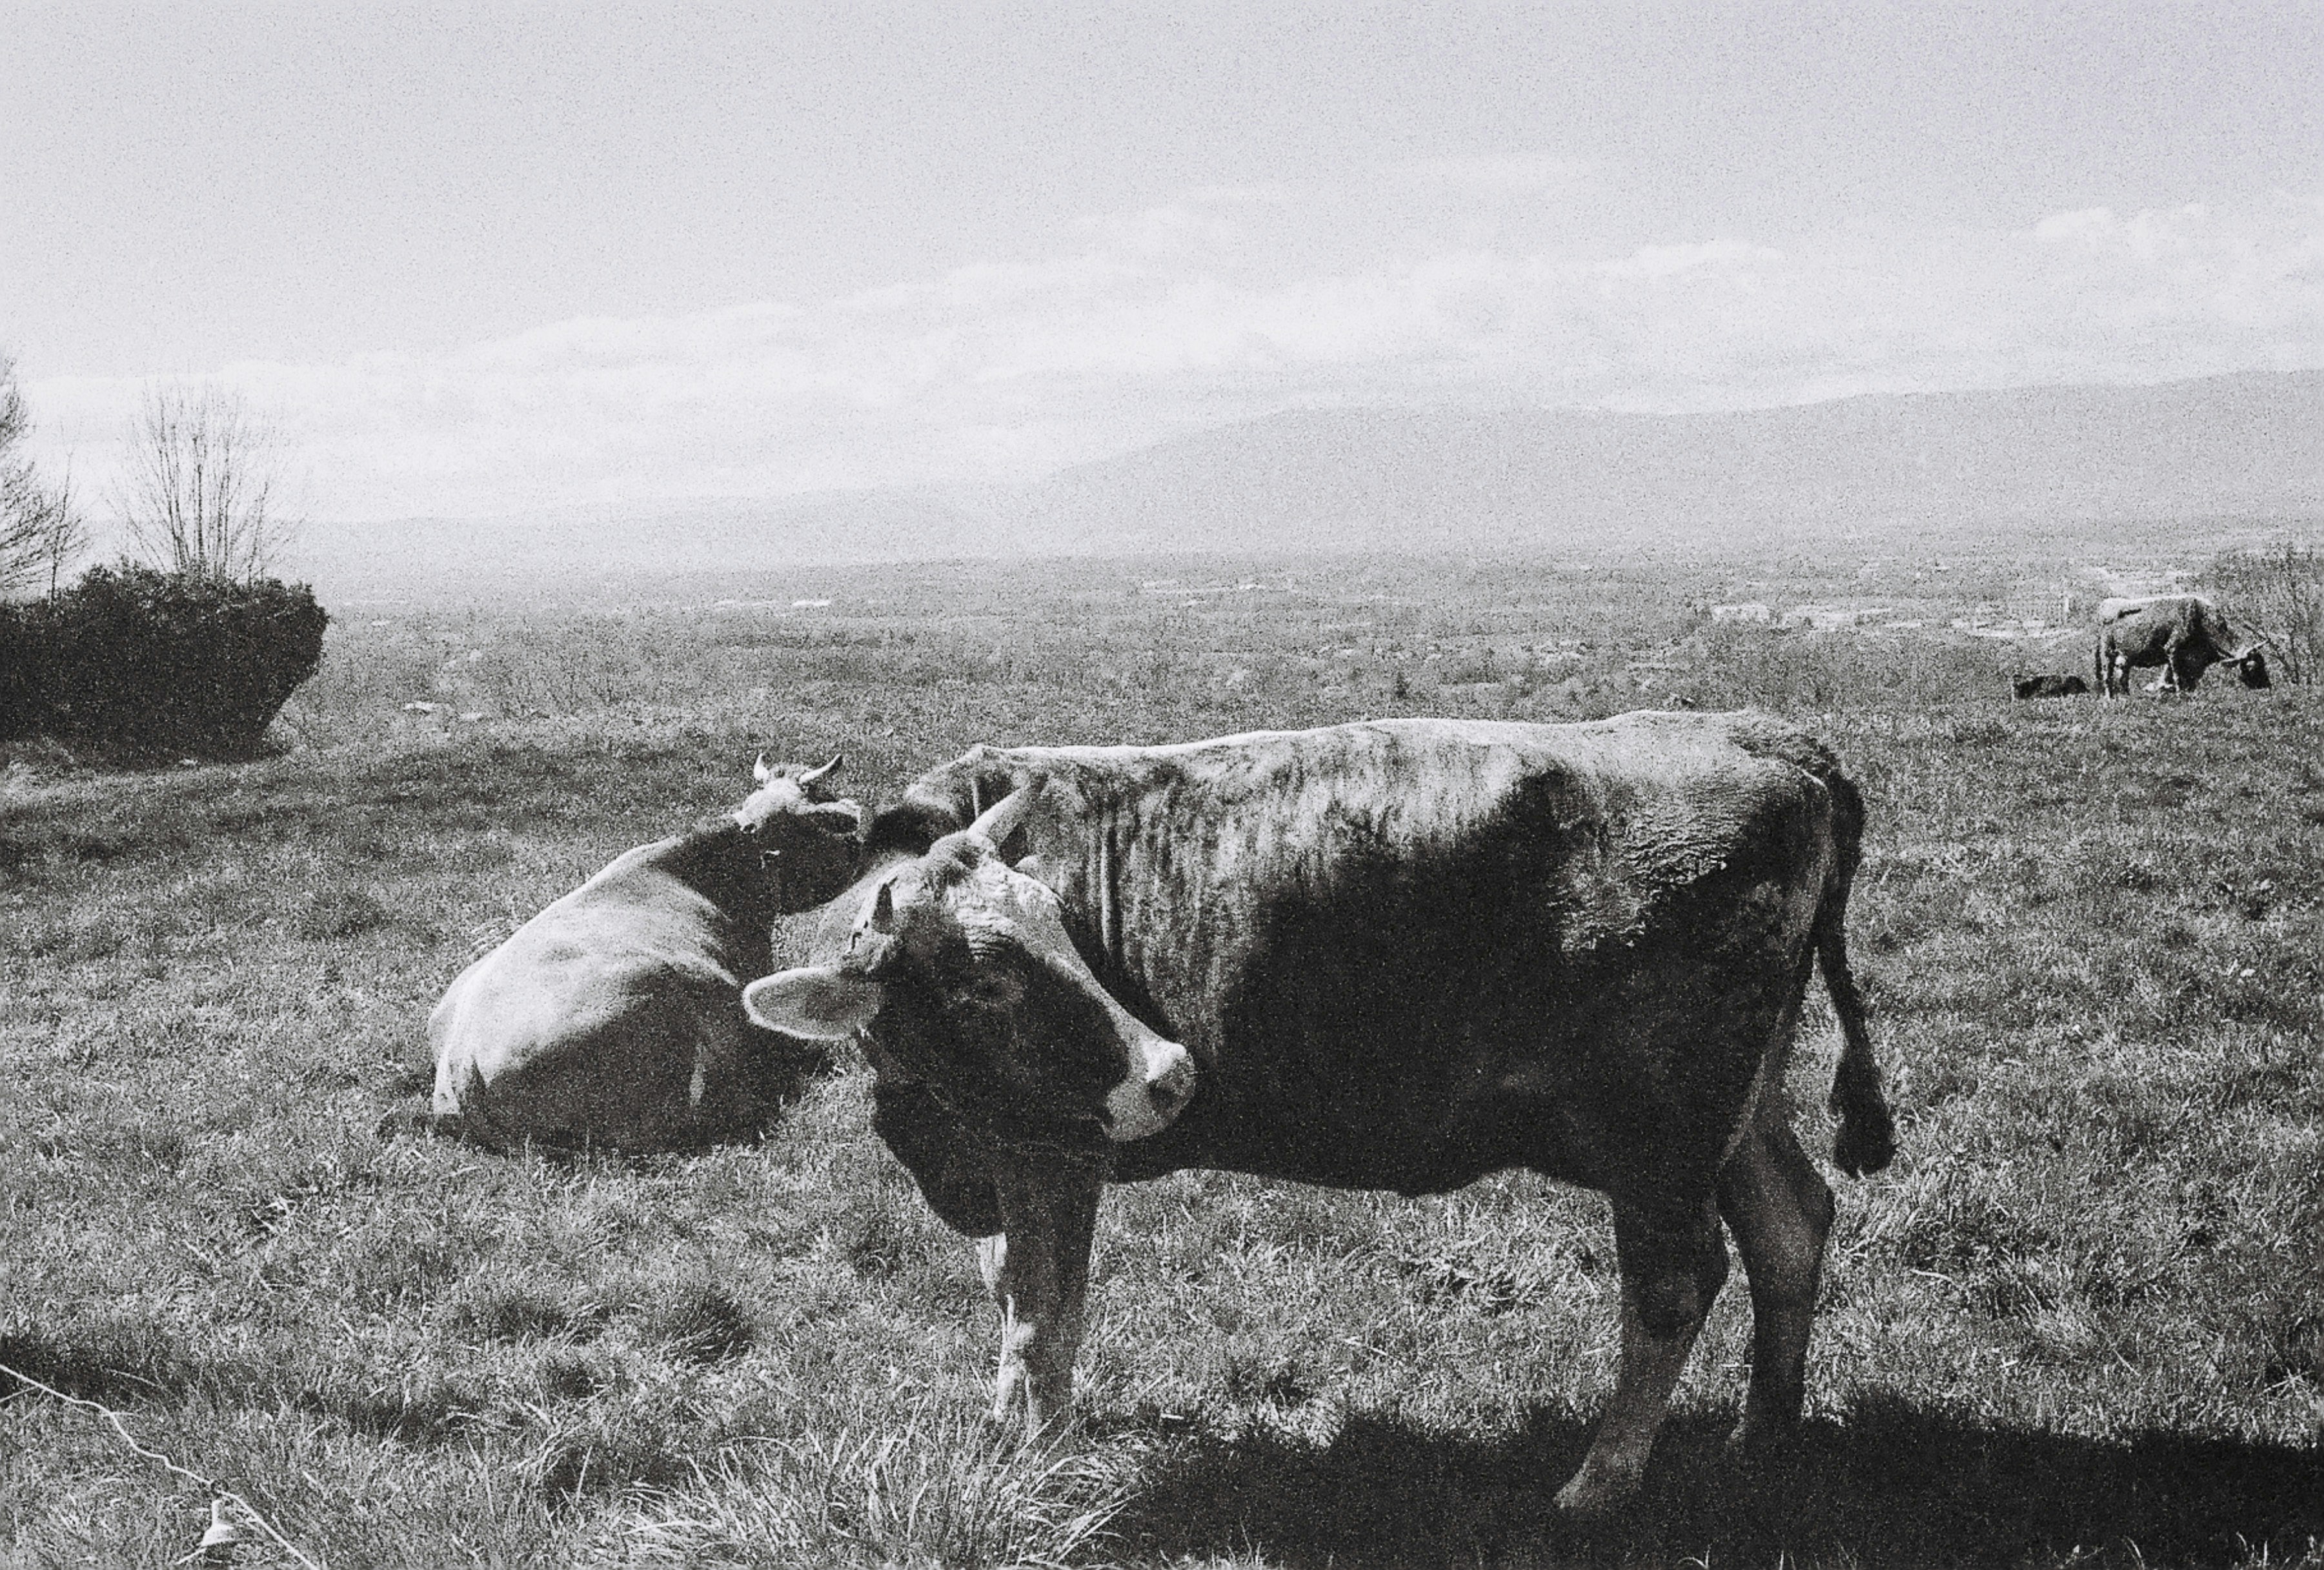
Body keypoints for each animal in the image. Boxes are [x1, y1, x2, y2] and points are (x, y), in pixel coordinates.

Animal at [744, 714, 1896, 1518]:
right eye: (985, 979)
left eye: (1062, 928)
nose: (1172, 1075)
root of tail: (1767, 739)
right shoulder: (999, 1154)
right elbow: (1006, 1296)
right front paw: (1006, 1427)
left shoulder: (1051, 1152)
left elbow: (1041, 1316)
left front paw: (1040, 1459)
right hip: (1737, 1112)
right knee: (1789, 1227)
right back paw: (1760, 1434)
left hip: (1660, 1138)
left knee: (1672, 1286)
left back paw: (1601, 1481)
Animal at [2094, 595, 2270, 698]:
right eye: (2254, 666)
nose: (2266, 685)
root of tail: (2105, 603)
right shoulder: (2172, 650)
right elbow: (2177, 676)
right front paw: (2179, 696)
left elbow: (2186, 679)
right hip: (2106, 652)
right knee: (2107, 676)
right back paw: (2110, 699)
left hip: (2125, 657)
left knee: (2123, 677)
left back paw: (2127, 697)